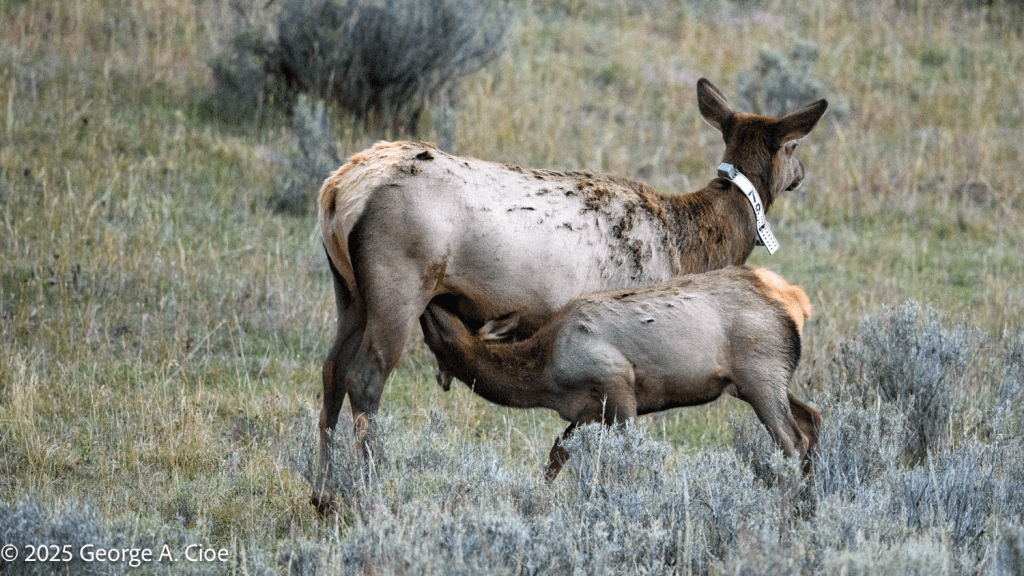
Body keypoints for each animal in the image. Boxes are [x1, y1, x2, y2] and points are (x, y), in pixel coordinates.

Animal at [420, 266, 821, 481]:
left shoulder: (615, 381)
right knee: (812, 418)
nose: (430, 302)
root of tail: (796, 299)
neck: (545, 378)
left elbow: (628, 455)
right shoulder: (586, 410)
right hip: (763, 379)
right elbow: (557, 453)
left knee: (792, 440)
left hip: (760, 374)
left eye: (442, 330)